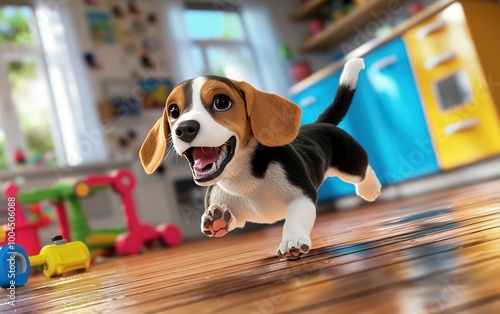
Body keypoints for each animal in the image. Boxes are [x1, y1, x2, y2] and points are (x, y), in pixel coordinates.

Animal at [139, 57, 380, 258]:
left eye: (221, 102)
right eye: (173, 110)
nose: (184, 129)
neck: (241, 177)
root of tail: (321, 123)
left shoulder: (303, 195)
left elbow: (296, 217)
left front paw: (292, 239)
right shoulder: (231, 207)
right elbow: (231, 218)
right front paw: (218, 219)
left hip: (350, 164)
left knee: (364, 170)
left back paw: (371, 189)